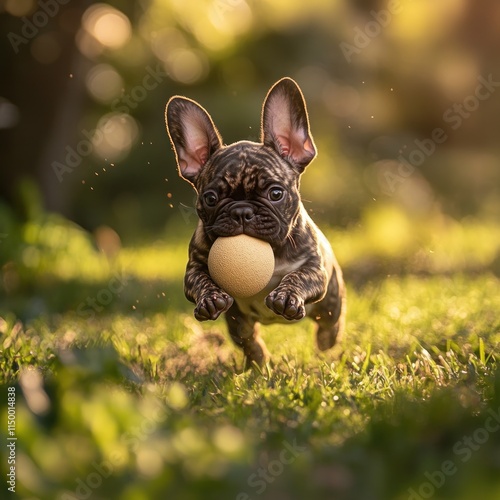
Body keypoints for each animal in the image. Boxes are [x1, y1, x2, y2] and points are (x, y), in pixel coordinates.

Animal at [166, 77, 346, 368]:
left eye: (275, 193)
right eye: (210, 198)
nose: (242, 211)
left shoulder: (314, 267)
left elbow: (298, 276)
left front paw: (287, 296)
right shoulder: (194, 266)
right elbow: (200, 280)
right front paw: (210, 298)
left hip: (330, 300)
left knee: (330, 322)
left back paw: (326, 341)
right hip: (236, 321)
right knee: (248, 338)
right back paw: (258, 362)